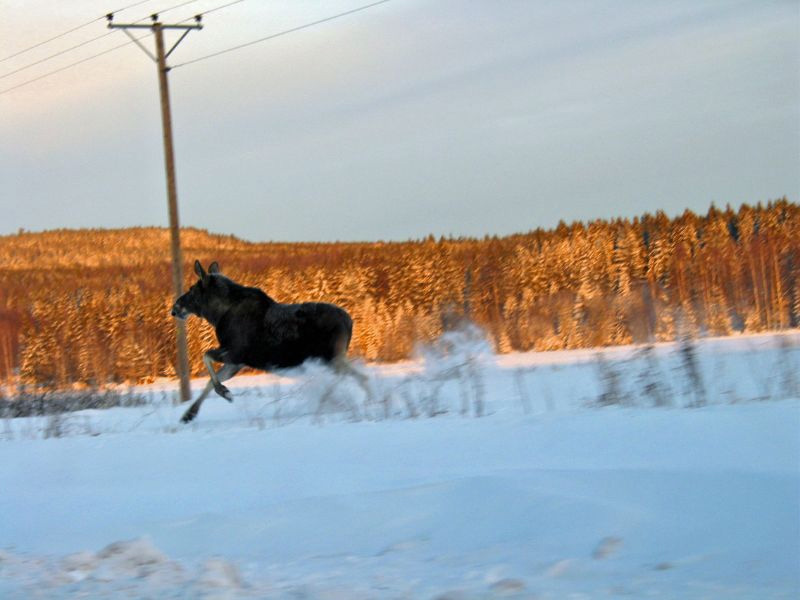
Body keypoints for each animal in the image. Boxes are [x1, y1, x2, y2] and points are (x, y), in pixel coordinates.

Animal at [172, 260, 368, 424]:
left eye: (192, 289)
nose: (175, 308)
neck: (217, 316)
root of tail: (350, 322)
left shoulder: (235, 353)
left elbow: (206, 357)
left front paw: (224, 392)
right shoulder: (237, 361)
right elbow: (209, 381)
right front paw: (188, 414)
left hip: (332, 357)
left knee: (360, 377)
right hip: (331, 359)